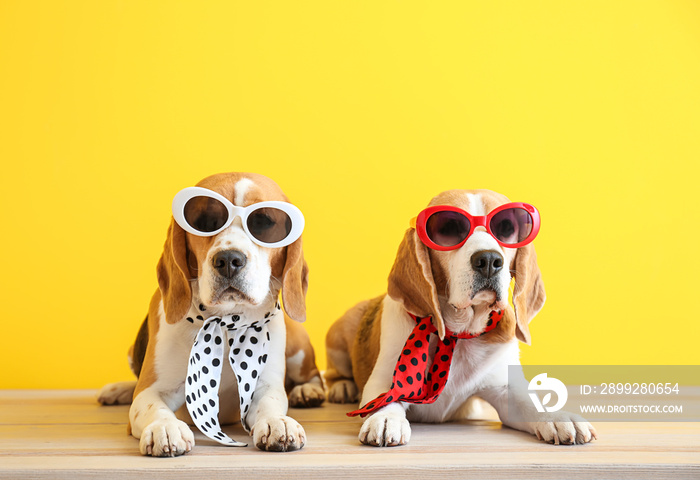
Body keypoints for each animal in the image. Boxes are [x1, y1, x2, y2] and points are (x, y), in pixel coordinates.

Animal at [98, 172, 322, 454]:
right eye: (204, 222)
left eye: (264, 221)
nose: (228, 260)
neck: (226, 322)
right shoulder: (151, 391)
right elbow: (153, 406)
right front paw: (166, 428)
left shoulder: (265, 385)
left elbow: (270, 403)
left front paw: (276, 422)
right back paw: (118, 390)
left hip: (298, 347)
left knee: (313, 375)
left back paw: (308, 391)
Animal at [324, 188, 596, 446]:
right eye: (449, 228)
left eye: (506, 228)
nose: (489, 260)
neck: (458, 333)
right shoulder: (382, 381)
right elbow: (389, 399)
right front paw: (386, 418)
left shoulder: (506, 389)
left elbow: (531, 403)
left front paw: (559, 416)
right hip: (338, 334)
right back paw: (342, 386)